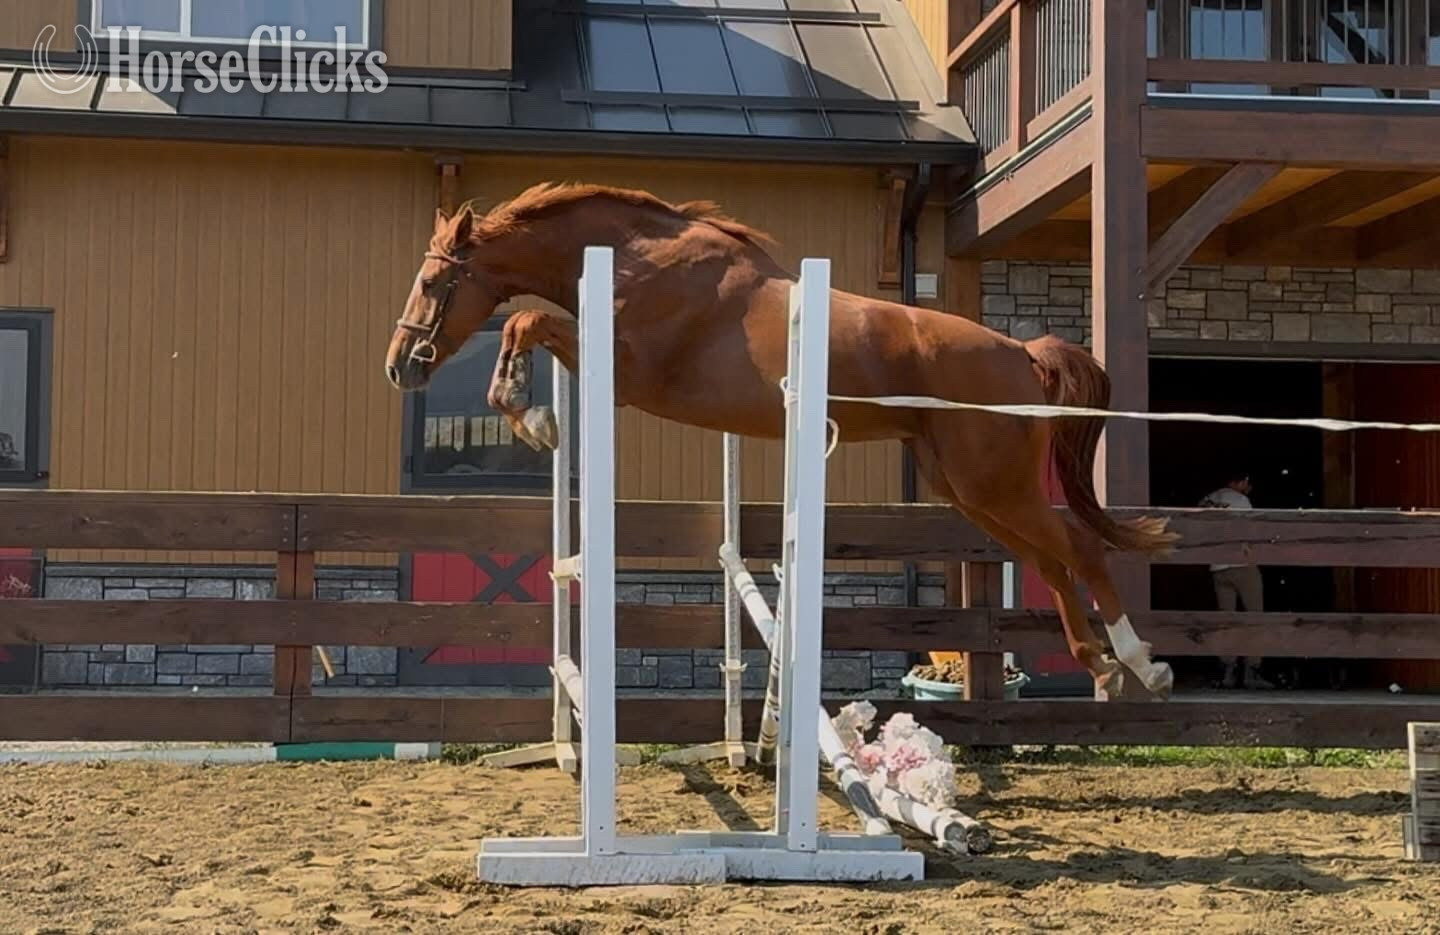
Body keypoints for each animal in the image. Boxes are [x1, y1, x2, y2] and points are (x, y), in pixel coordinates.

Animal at [385, 182, 1178, 700]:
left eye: (430, 281)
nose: (400, 366)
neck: (638, 260)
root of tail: (1021, 352)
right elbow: (529, 324)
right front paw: (530, 413)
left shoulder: (627, 369)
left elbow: (526, 322)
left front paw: (529, 413)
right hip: (968, 490)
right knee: (1050, 558)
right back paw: (1100, 667)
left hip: (996, 483)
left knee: (1079, 550)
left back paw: (1143, 664)